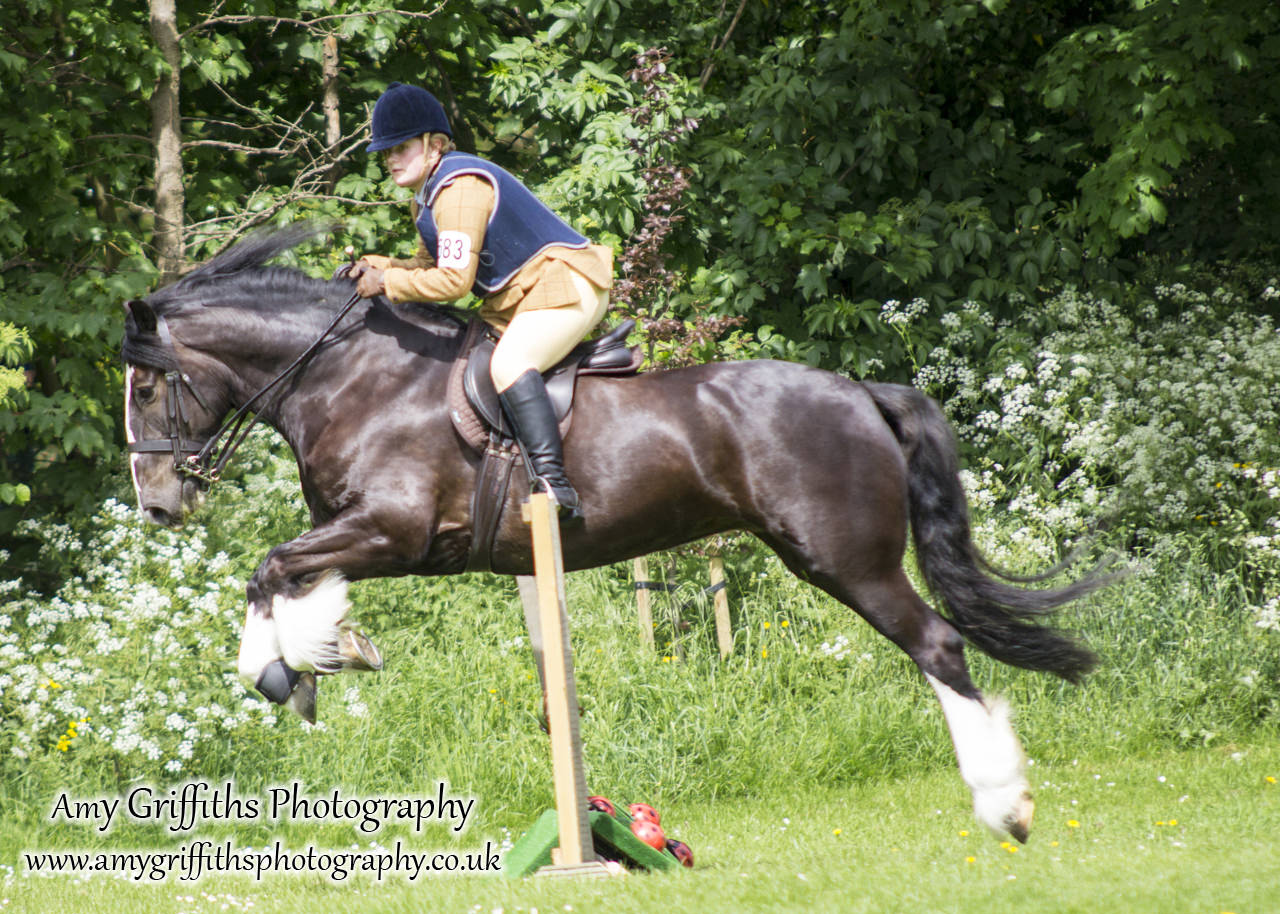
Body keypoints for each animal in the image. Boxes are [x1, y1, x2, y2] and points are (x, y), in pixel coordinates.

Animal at [122, 226, 1111, 839]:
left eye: (146, 386)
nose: (158, 504)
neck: (352, 376)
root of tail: (861, 391)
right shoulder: (362, 534)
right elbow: (296, 580)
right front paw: (325, 656)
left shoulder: (394, 532)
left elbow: (269, 568)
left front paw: (286, 670)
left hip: (844, 560)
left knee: (937, 645)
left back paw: (1005, 807)